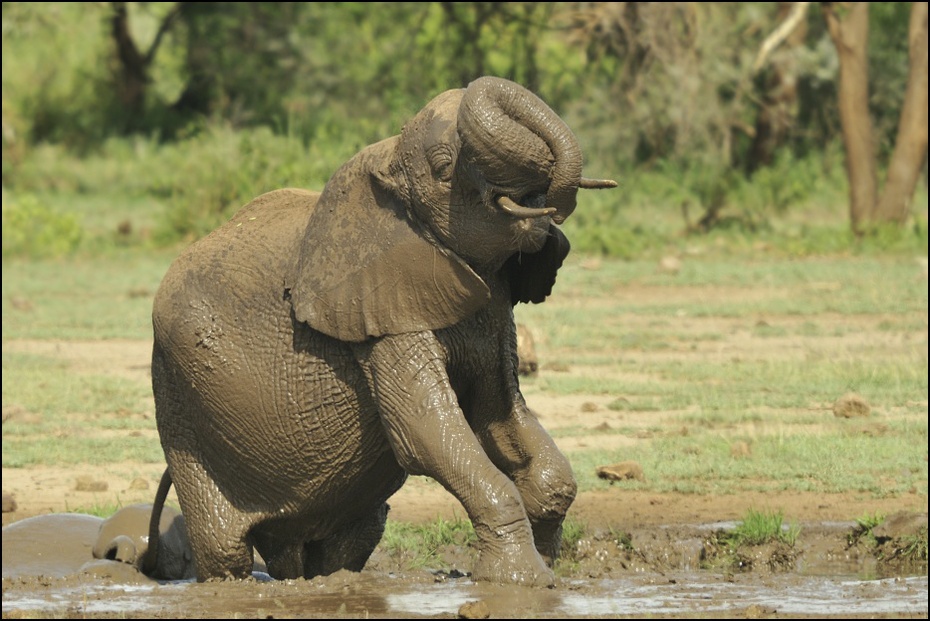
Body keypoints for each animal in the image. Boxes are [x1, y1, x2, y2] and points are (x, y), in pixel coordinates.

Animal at [150, 76, 616, 588]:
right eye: (443, 168)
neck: (389, 159)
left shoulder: (490, 311)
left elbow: (501, 421)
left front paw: (550, 566)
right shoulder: (379, 321)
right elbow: (426, 433)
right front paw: (521, 581)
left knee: (352, 536)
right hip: (179, 403)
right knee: (224, 550)